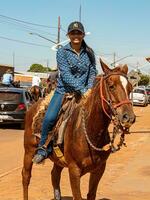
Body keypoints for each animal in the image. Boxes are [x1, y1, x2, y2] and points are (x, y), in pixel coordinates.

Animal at [22, 59, 136, 200]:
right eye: (111, 86)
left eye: (130, 88)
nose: (128, 117)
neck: (89, 131)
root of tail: (33, 107)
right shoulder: (74, 170)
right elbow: (78, 196)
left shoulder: (99, 169)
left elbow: (91, 194)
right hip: (29, 151)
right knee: (26, 177)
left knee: (55, 175)